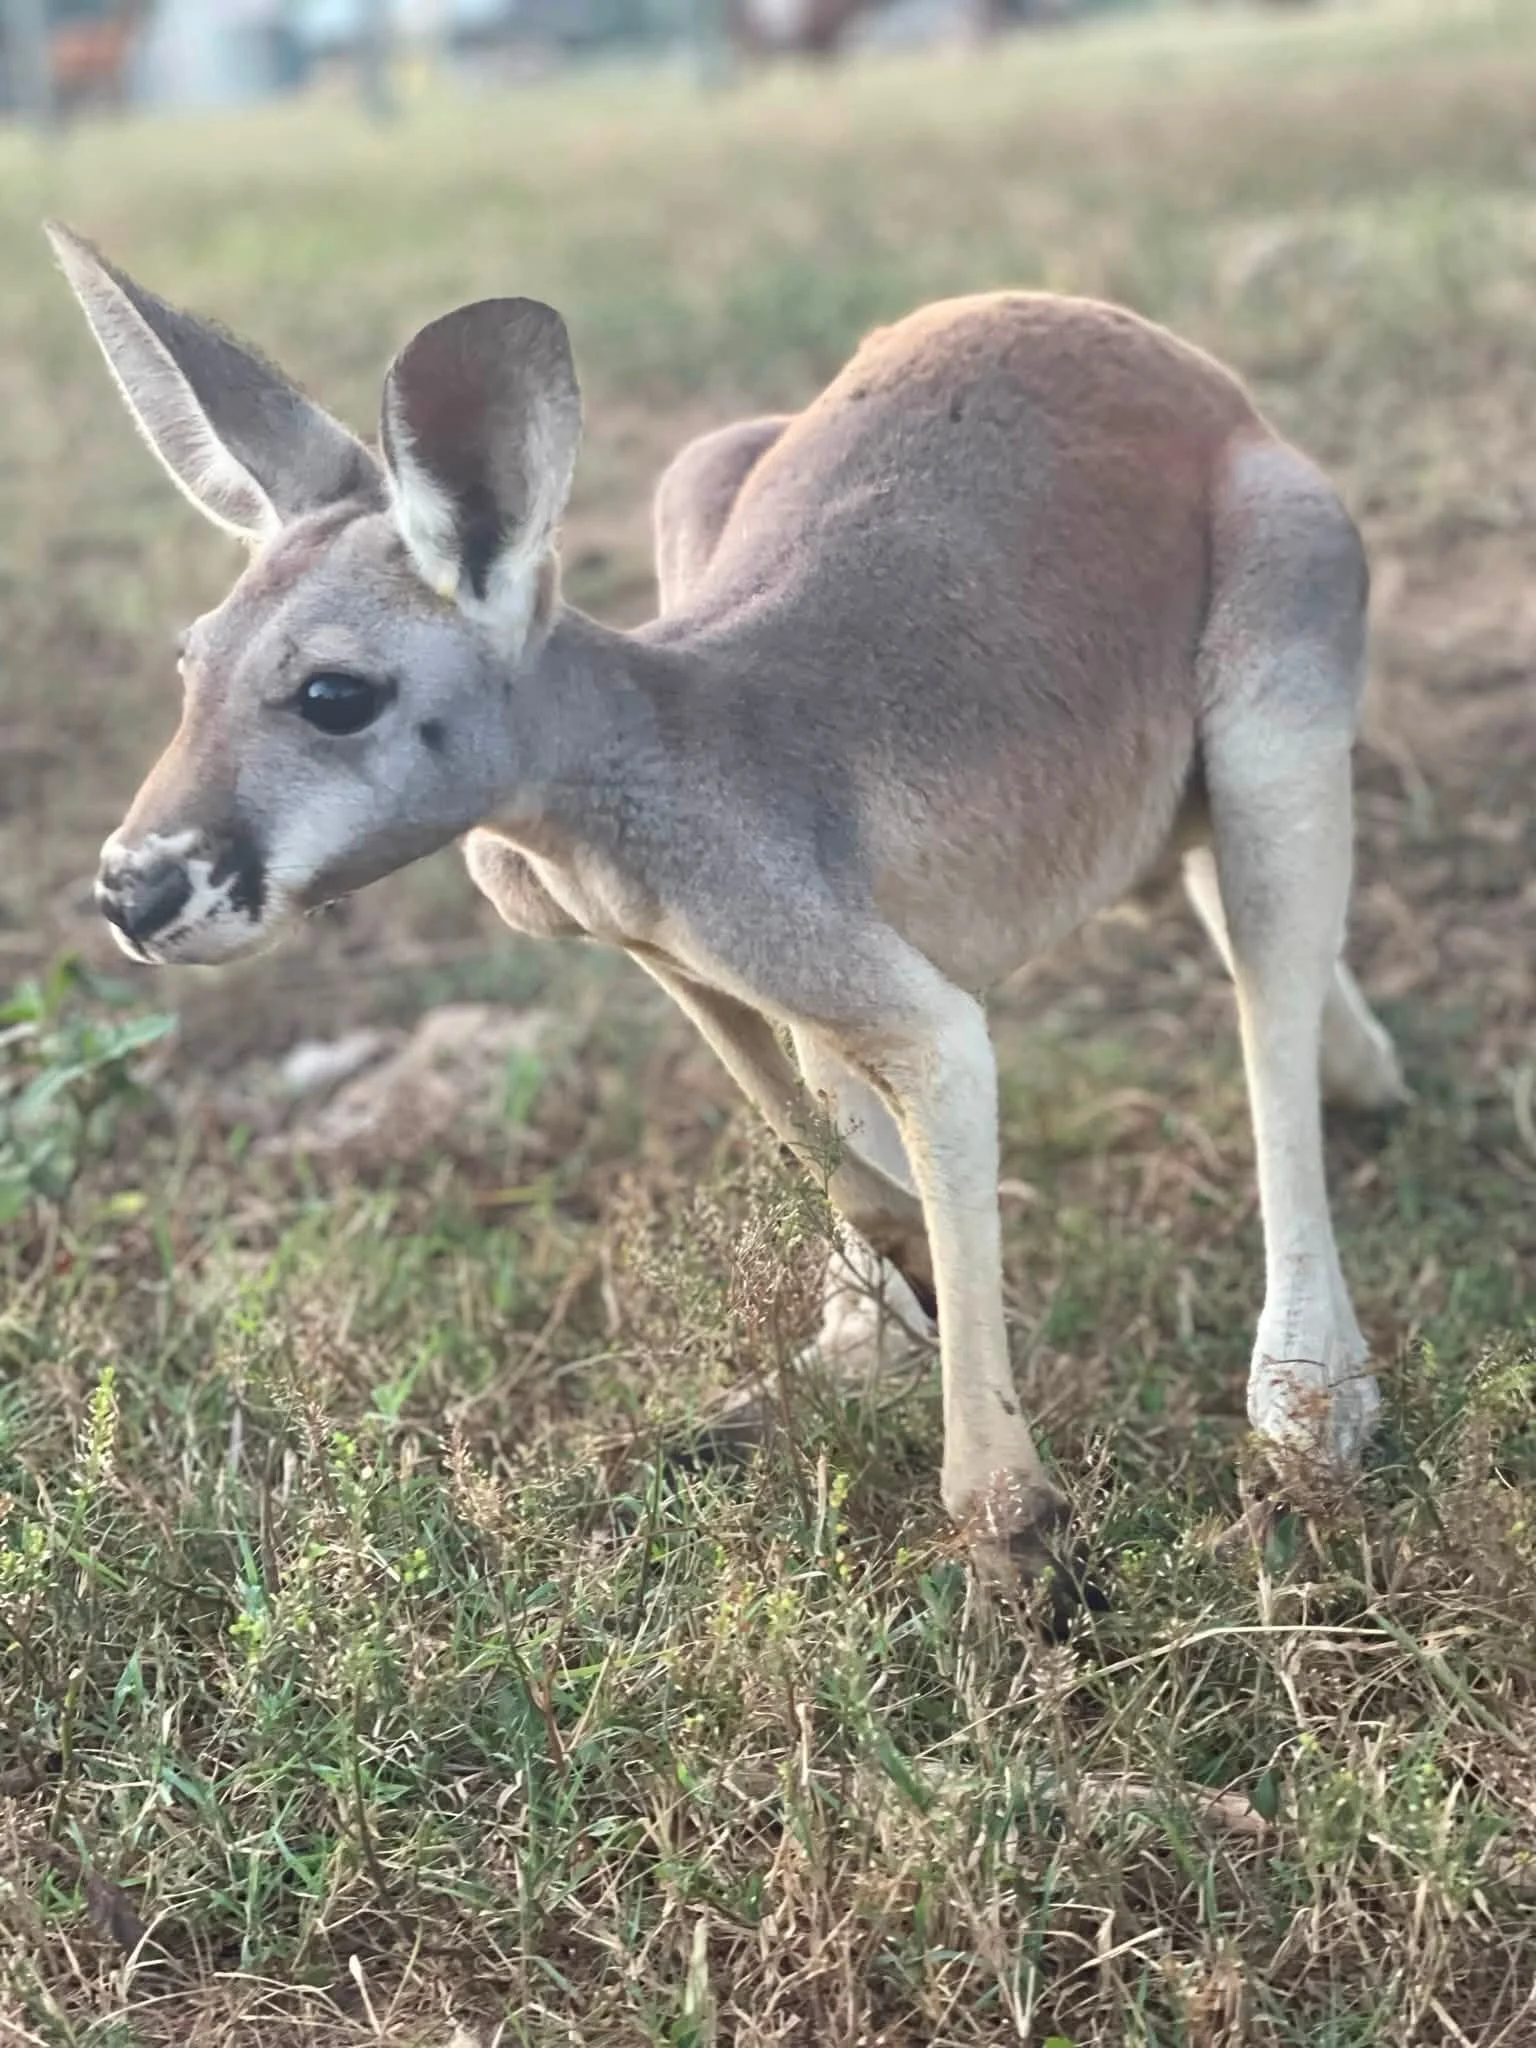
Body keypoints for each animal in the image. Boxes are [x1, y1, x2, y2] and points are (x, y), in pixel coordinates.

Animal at [48, 222, 1409, 1599]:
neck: (612, 779)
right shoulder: (666, 937)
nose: (130, 889)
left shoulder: (844, 965)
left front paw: (1014, 1541)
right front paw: (900, 1271)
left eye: (335, 695)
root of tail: (1160, 350)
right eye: (188, 671)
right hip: (708, 481)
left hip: (1281, 602)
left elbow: (937, 1072)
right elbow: (804, 1114)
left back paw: (1307, 1407)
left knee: (1268, 962)